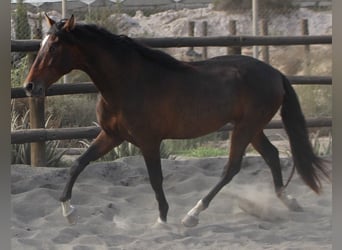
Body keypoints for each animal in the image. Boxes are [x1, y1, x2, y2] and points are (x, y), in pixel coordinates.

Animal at [23, 14, 328, 227]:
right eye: (42, 44)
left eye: (54, 47)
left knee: (232, 168)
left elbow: (155, 179)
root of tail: (276, 73)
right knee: (272, 155)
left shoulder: (148, 141)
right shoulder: (111, 135)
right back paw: (289, 201)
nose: (30, 86)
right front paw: (68, 213)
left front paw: (162, 219)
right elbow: (77, 164)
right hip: (252, 128)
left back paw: (192, 215)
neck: (128, 82)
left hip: (245, 128)